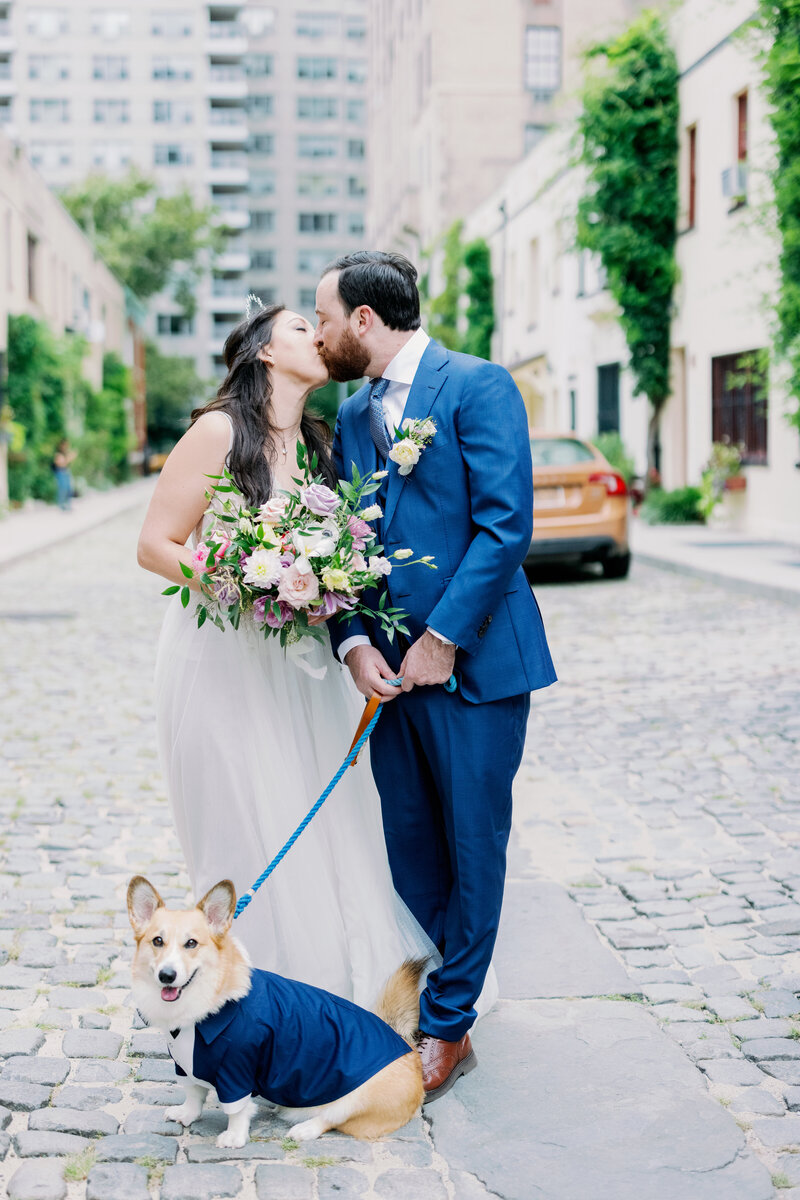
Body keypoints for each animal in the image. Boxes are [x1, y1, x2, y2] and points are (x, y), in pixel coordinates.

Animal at [126, 878, 424, 1147]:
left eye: (191, 943)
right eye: (157, 941)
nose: (167, 975)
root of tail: (411, 1052)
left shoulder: (237, 1070)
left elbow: (237, 1110)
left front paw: (234, 1137)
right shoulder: (185, 1064)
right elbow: (193, 1093)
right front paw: (187, 1114)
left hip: (358, 1096)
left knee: (331, 1118)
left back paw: (304, 1129)